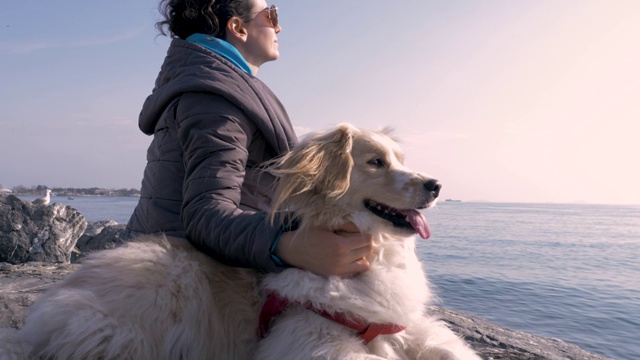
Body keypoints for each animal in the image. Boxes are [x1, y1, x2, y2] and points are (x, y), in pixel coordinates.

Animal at [0, 124, 480, 360]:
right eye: (376, 162)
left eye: (400, 159)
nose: (436, 185)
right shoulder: (314, 339)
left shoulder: (404, 325)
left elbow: (450, 349)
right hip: (164, 292)